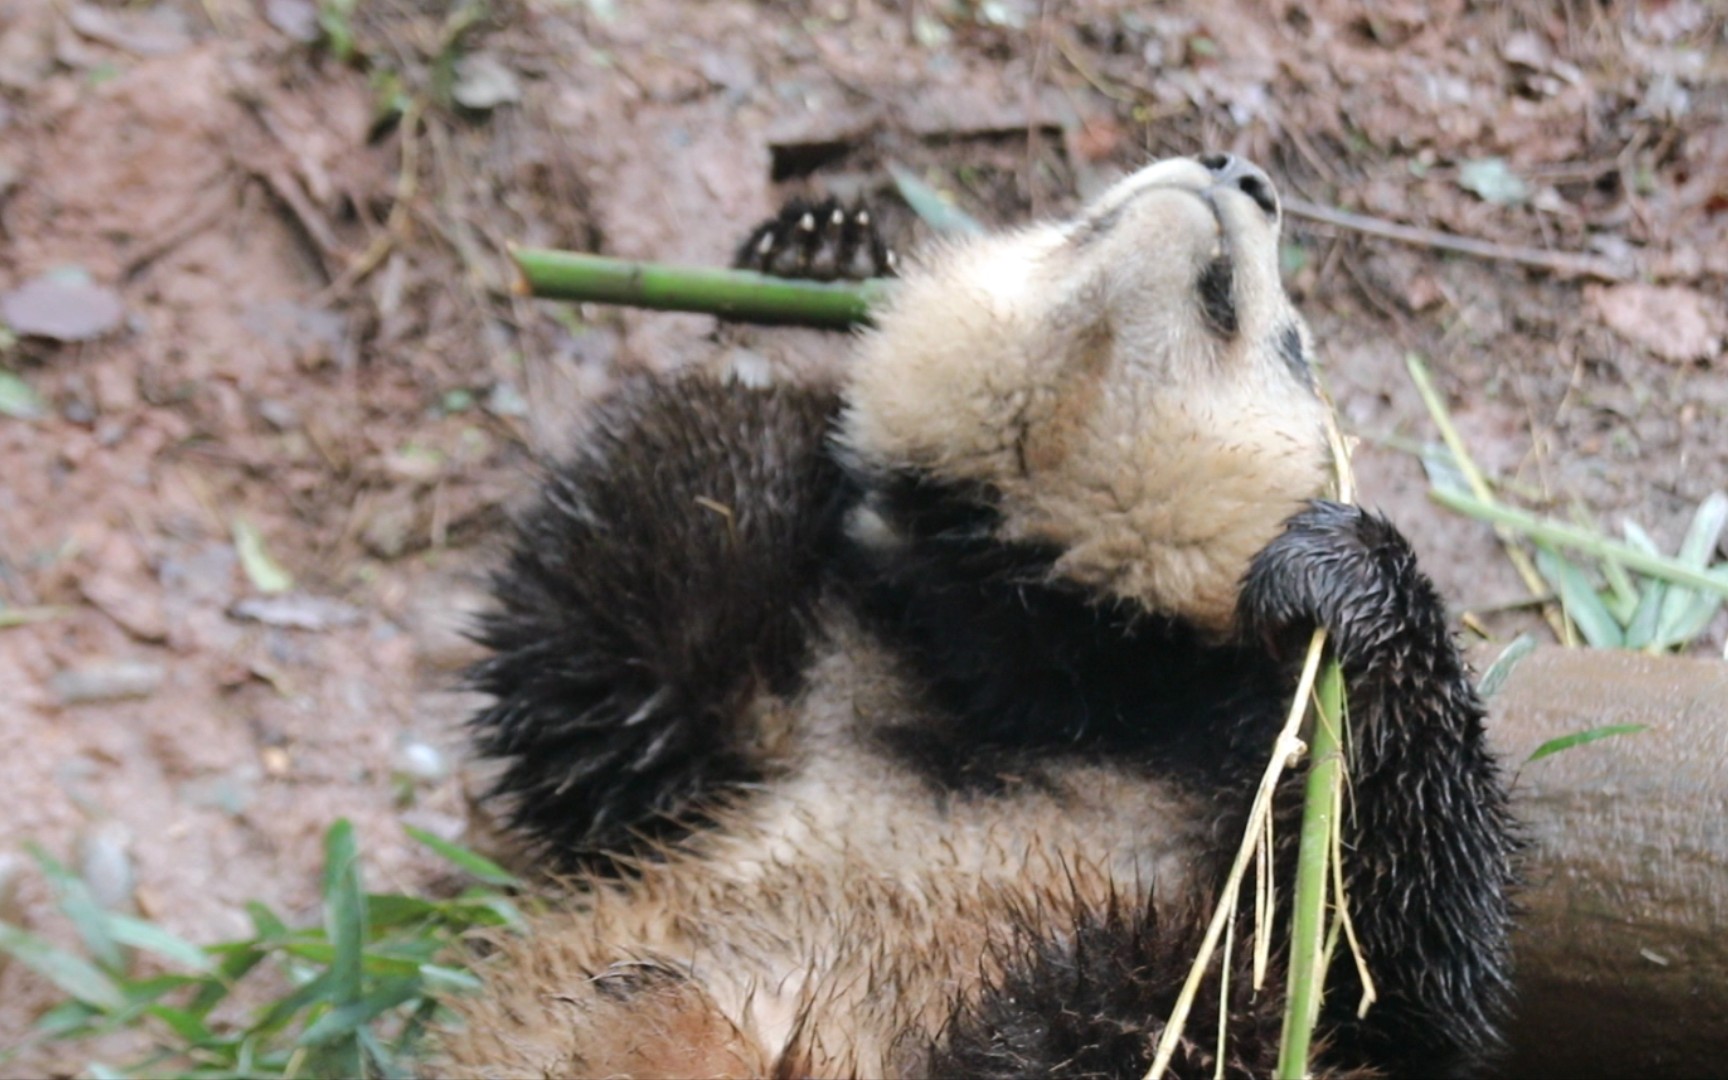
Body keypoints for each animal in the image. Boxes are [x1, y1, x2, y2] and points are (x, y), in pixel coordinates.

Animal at [442, 153, 1513, 1078]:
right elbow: (602, 657)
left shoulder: (1224, 759)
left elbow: (1391, 967)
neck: (1057, 653)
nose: (1239, 170)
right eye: (1074, 223)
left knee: (1155, 1013)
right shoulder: (779, 697)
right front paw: (800, 296)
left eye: (1294, 350)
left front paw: (1349, 580)